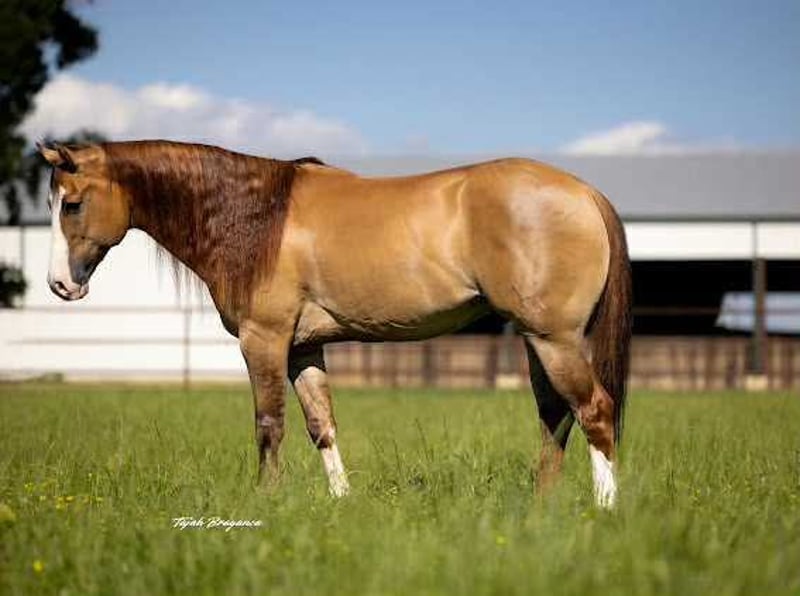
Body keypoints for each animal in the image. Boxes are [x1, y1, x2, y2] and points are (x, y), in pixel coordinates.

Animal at [38, 140, 631, 508]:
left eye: (71, 205)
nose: (60, 285)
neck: (255, 217)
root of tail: (584, 193)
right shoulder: (304, 349)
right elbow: (321, 425)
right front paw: (341, 503)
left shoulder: (264, 340)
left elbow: (269, 424)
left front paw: (267, 500)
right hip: (537, 342)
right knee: (555, 417)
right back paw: (541, 509)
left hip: (554, 341)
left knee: (594, 412)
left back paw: (605, 508)